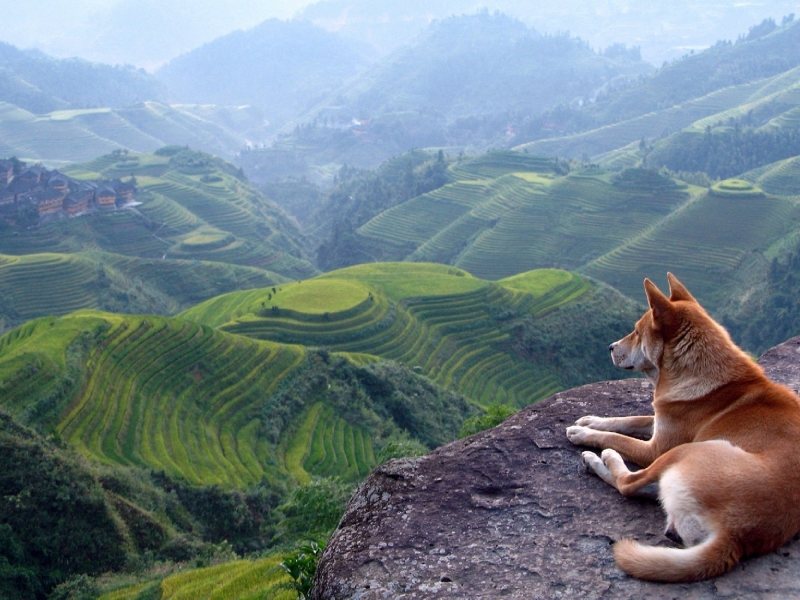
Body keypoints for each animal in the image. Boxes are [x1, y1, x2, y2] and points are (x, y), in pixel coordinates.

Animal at [564, 276, 800, 580]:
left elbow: (617, 437)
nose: (610, 347)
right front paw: (591, 420)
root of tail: (735, 536)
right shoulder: (661, 418)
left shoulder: (656, 448)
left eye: (637, 332)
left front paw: (585, 433)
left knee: (629, 483)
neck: (702, 371)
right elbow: (629, 419)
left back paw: (600, 458)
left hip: (688, 451)